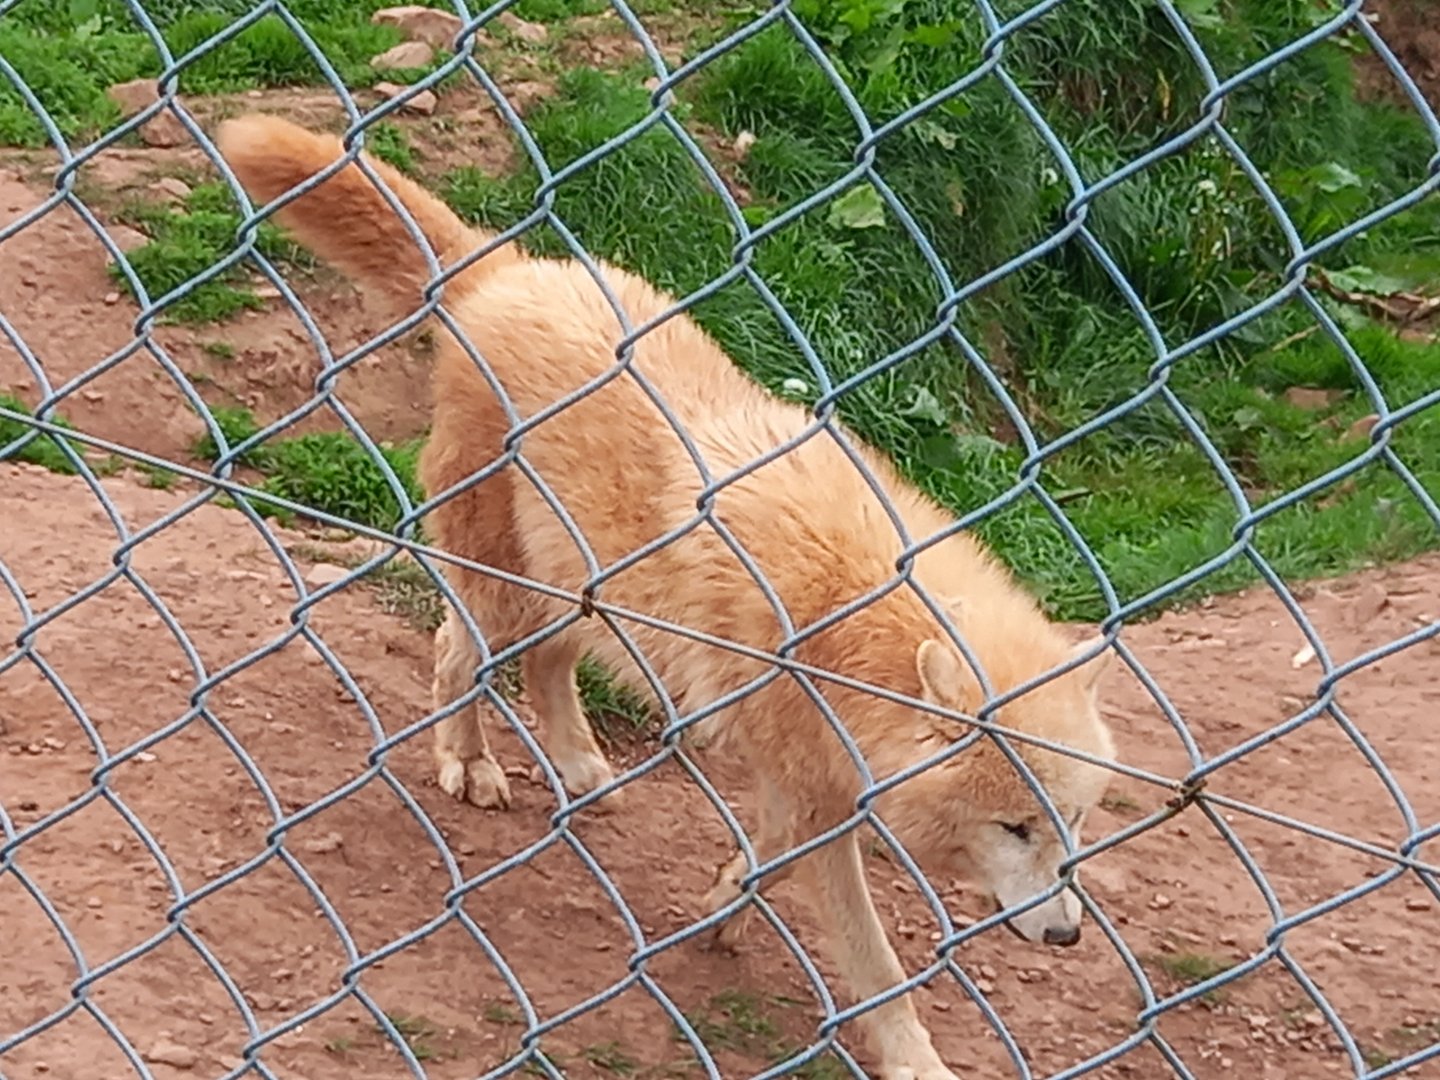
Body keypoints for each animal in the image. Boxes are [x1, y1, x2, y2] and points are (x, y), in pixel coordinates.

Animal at [217, 114, 1118, 1080]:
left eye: (1069, 822)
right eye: (1014, 827)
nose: (1066, 937)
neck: (856, 635)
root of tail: (507, 270)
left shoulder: (808, 793)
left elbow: (765, 868)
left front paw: (722, 906)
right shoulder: (816, 801)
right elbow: (876, 964)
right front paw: (914, 1059)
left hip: (580, 590)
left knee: (542, 667)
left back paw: (579, 771)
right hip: (508, 584)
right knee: (457, 652)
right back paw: (468, 763)